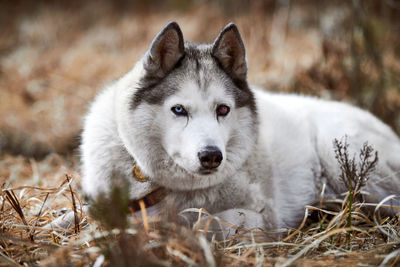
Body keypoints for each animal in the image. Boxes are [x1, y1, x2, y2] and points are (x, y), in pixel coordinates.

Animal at [79, 21, 398, 234]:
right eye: (179, 110)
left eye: (223, 109)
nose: (211, 156)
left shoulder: (261, 217)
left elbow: (203, 222)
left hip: (342, 155)